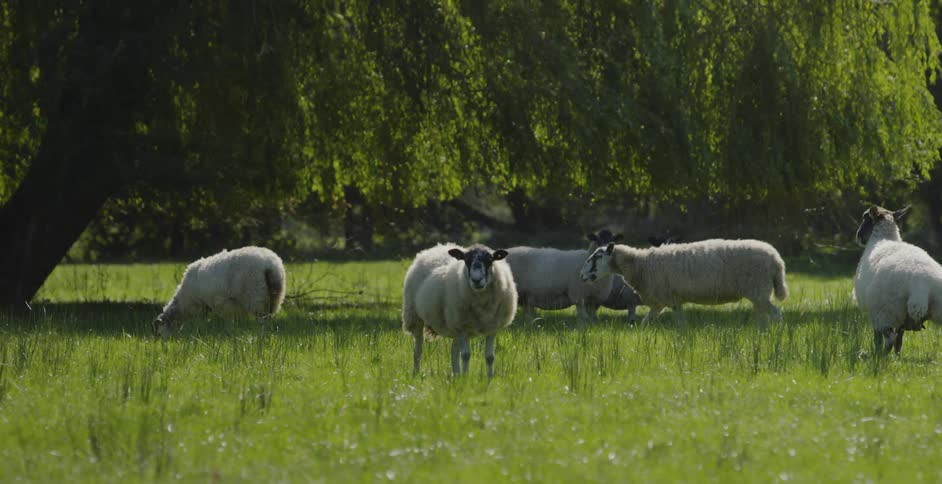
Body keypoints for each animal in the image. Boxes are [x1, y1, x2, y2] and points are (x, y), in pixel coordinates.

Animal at [153, 246, 286, 337]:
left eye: (159, 333)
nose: (164, 344)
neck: (182, 304)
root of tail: (271, 265)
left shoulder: (200, 305)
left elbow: (200, 323)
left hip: (255, 296)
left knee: (262, 320)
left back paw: (261, 336)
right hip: (274, 297)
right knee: (269, 318)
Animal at [401, 243, 517, 377]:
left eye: (490, 260)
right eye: (466, 260)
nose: (476, 280)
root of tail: (435, 248)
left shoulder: (492, 329)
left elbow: (490, 357)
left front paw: (489, 377)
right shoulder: (462, 327)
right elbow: (466, 355)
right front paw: (465, 378)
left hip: (454, 325)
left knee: (454, 352)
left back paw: (456, 374)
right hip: (415, 317)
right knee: (418, 350)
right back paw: (416, 373)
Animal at [580, 239, 788, 325]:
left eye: (597, 256)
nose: (581, 276)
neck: (640, 264)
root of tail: (777, 260)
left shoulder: (667, 298)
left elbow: (679, 322)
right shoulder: (664, 301)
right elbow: (646, 322)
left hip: (759, 290)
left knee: (776, 314)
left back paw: (774, 333)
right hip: (758, 293)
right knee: (764, 315)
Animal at [853, 205, 936, 354]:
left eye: (864, 218)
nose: (858, 236)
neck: (884, 238)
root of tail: (920, 286)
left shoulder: (875, 315)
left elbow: (878, 339)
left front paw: (877, 353)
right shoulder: (902, 320)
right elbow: (900, 341)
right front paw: (898, 357)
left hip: (884, 312)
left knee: (889, 339)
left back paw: (880, 356)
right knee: (896, 340)